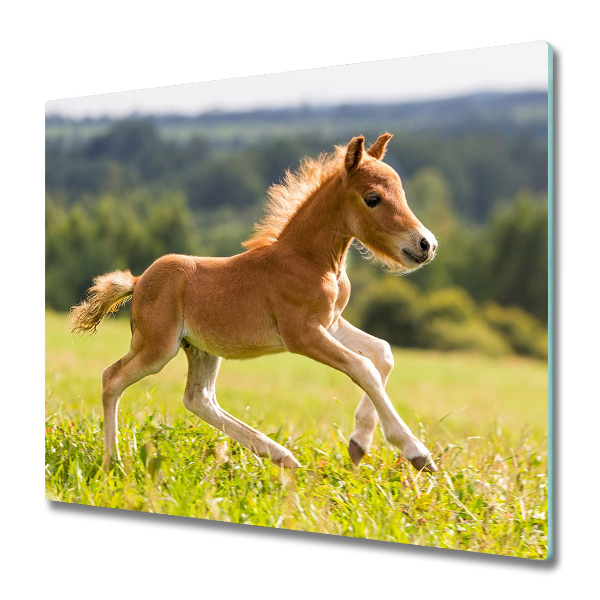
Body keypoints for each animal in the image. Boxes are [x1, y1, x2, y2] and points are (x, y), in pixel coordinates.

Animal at [70, 132, 438, 474]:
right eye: (373, 198)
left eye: (402, 194)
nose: (426, 244)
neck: (311, 260)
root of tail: (138, 281)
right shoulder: (302, 334)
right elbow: (364, 368)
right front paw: (416, 453)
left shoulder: (330, 322)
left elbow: (383, 353)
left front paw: (359, 443)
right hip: (157, 347)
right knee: (112, 379)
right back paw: (112, 462)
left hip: (200, 348)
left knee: (197, 398)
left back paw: (282, 456)